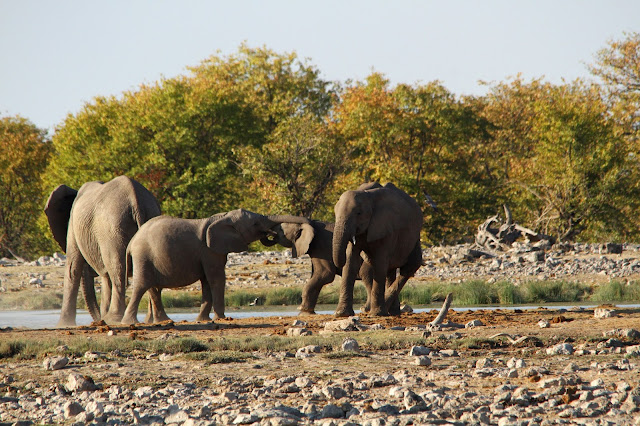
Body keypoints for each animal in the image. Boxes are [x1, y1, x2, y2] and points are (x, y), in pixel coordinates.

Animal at [44, 176, 162, 326]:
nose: (97, 319)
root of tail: (137, 202)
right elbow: (104, 277)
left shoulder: (73, 224)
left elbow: (73, 267)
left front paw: (64, 325)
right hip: (144, 220)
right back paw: (151, 320)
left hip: (112, 230)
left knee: (117, 270)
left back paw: (113, 319)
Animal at [122, 209, 310, 322]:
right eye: (255, 224)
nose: (274, 233)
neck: (222, 217)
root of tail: (131, 243)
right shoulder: (209, 250)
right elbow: (216, 279)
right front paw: (222, 318)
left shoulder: (210, 252)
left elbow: (207, 282)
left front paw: (203, 320)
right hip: (143, 256)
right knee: (142, 285)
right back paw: (131, 322)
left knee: (154, 288)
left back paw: (165, 321)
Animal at [332, 182, 422, 316]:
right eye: (335, 213)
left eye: (359, 213)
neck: (367, 196)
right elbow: (351, 262)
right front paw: (342, 314)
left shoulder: (386, 226)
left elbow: (379, 263)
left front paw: (376, 314)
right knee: (390, 270)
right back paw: (392, 311)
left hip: (414, 236)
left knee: (411, 265)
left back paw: (384, 309)